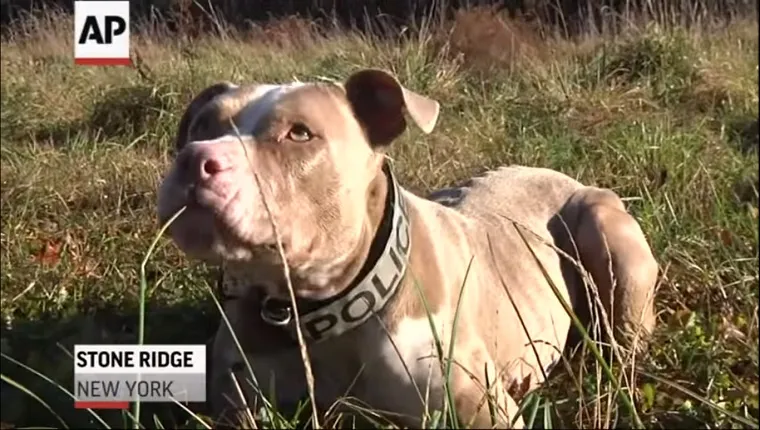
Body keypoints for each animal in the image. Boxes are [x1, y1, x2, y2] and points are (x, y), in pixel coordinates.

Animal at [156, 69, 660, 428]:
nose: (196, 159)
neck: (321, 308)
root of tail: (556, 172)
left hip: (608, 231)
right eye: (202, 124)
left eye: (299, 133)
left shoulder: (481, 409)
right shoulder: (236, 399)